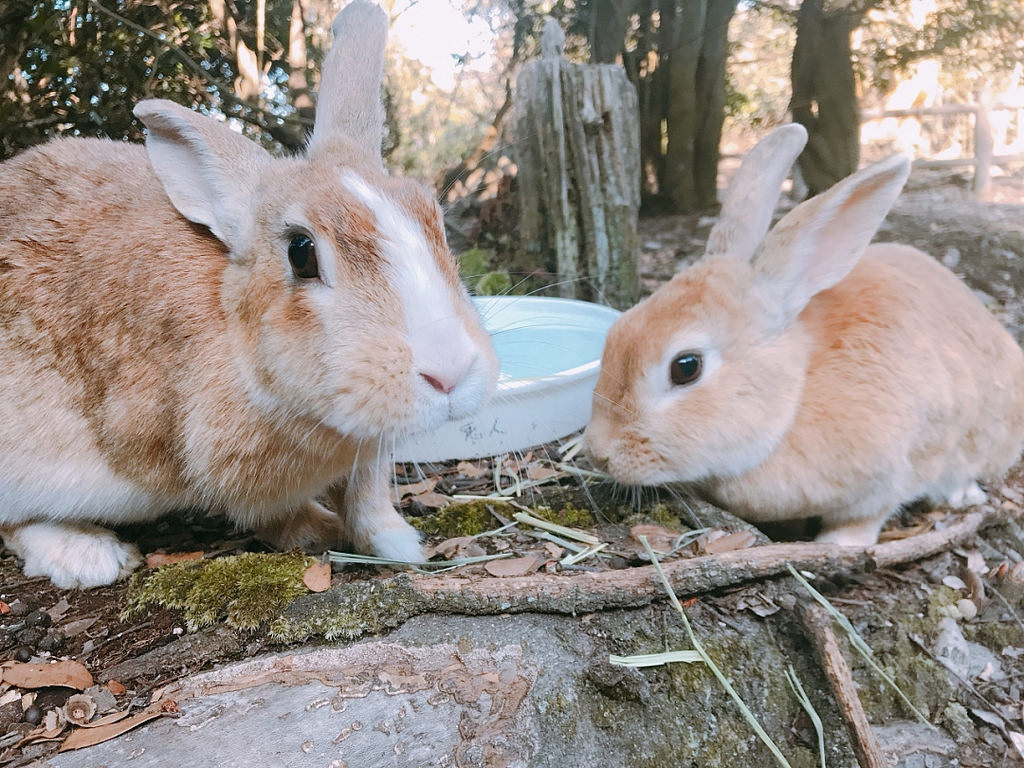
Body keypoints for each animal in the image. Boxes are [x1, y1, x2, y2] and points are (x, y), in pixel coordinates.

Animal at [0, 1, 495, 589]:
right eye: (301, 253)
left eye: (432, 215)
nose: (452, 372)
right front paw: (323, 532)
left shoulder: (367, 451)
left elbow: (367, 499)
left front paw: (397, 545)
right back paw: (89, 556)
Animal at [585, 124, 1024, 548]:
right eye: (617, 331)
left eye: (686, 367)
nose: (597, 453)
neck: (796, 394)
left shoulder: (894, 472)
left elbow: (868, 515)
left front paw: (839, 542)